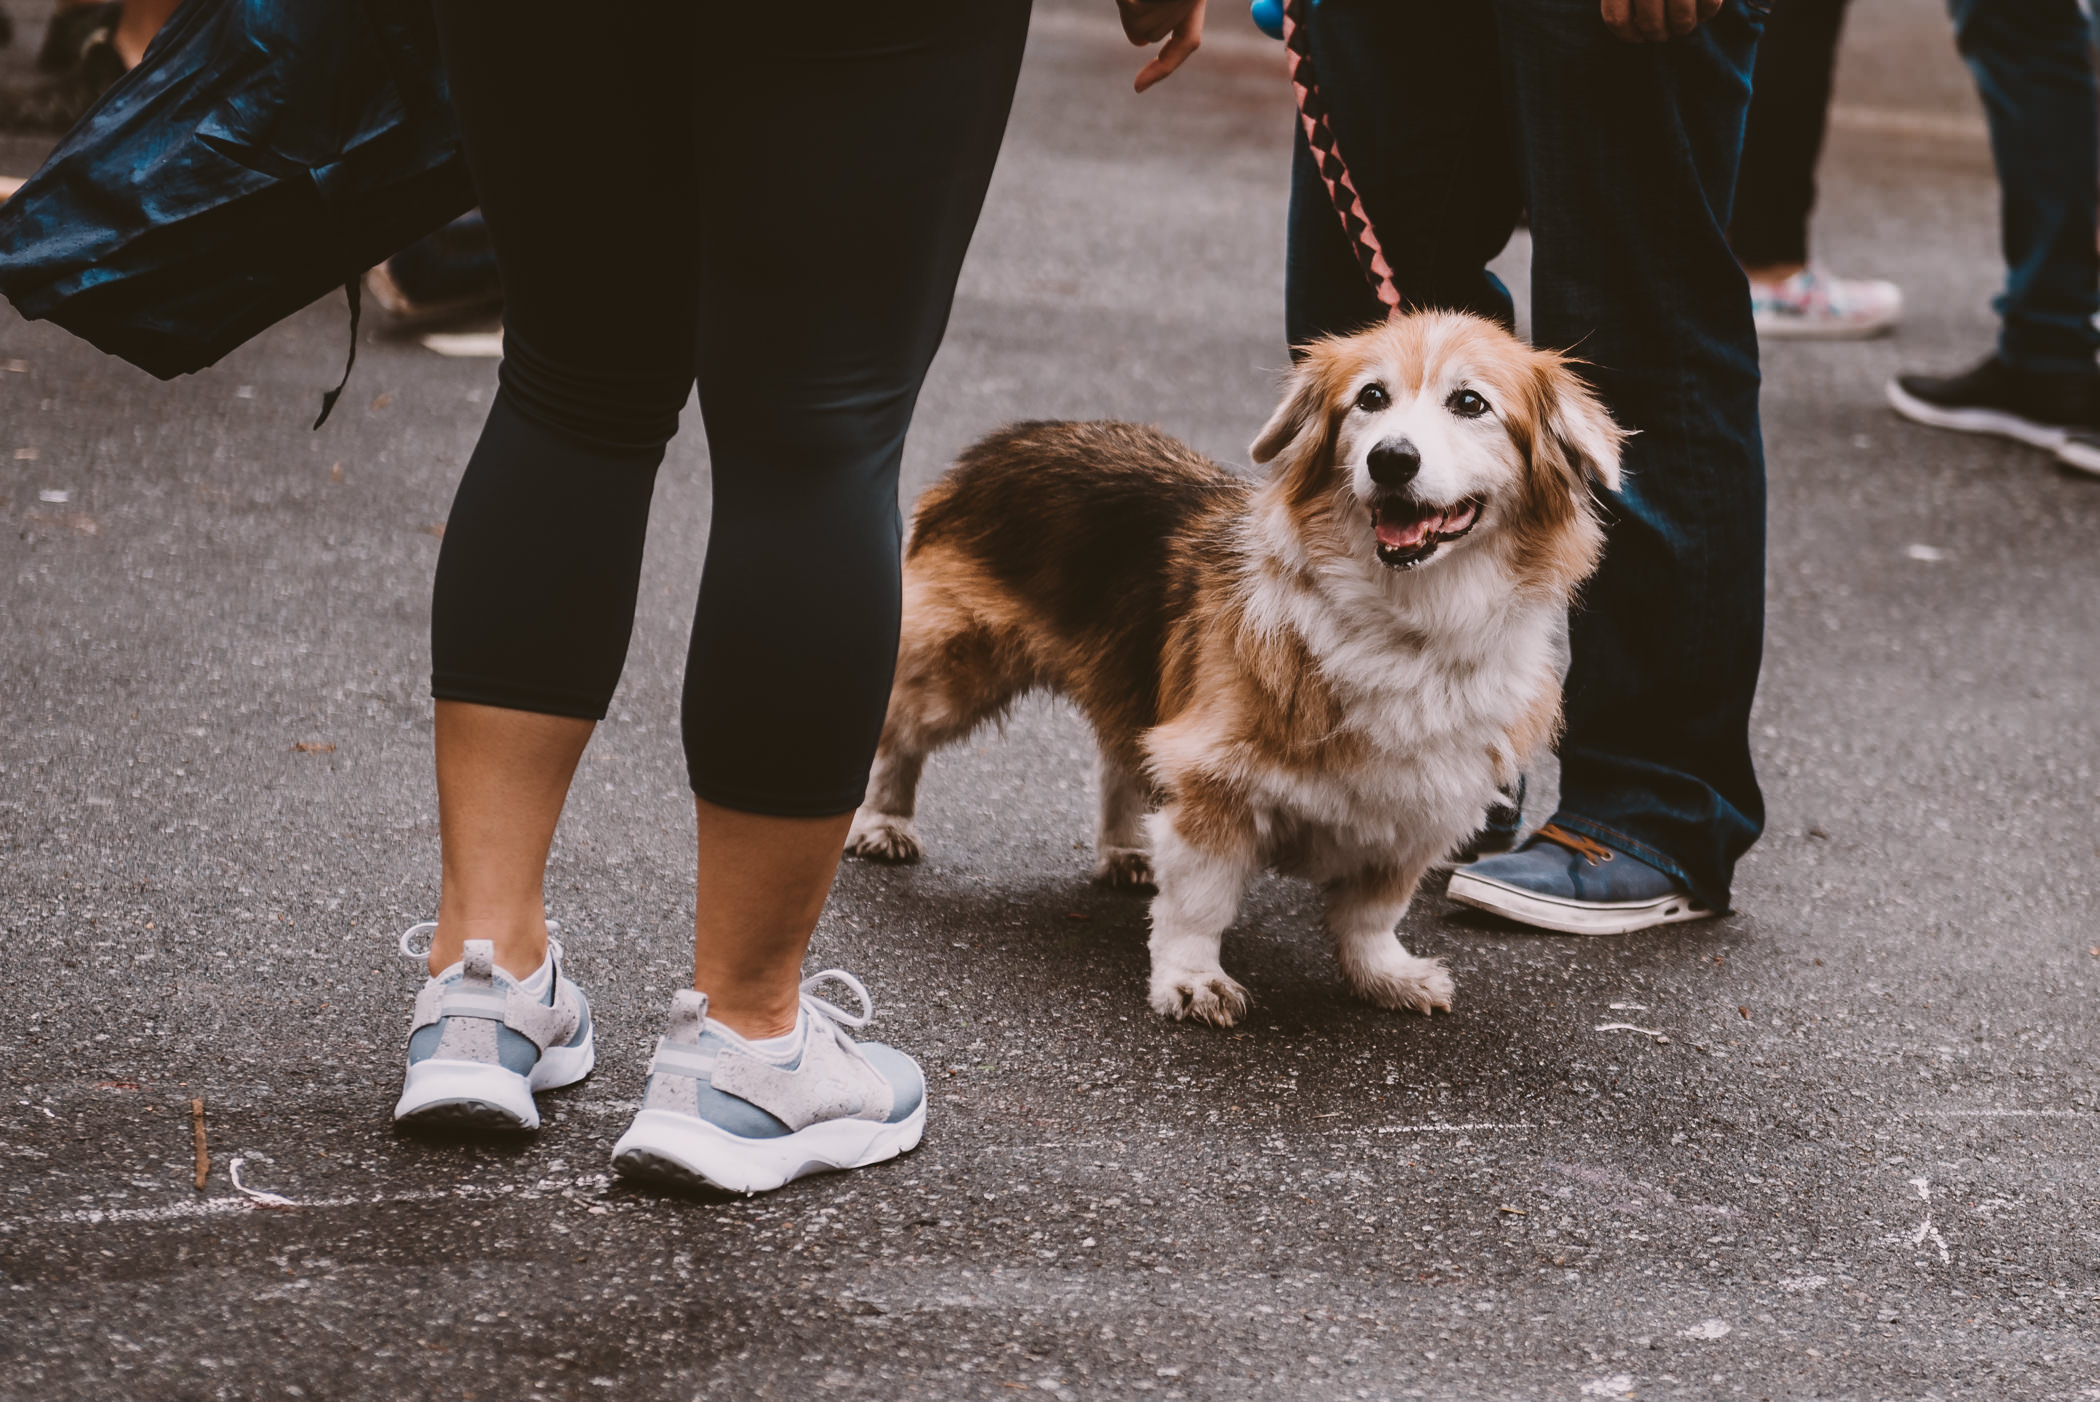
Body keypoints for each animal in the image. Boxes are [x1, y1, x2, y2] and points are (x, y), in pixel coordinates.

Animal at [839, 308, 1621, 1028]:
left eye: (1470, 403)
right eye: (1370, 398)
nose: (1391, 460)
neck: (1408, 622)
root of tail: (1004, 439)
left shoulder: (1419, 808)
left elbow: (1373, 914)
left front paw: (1384, 976)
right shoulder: (1216, 777)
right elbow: (1201, 901)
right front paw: (1191, 980)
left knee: (1121, 759)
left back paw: (1126, 848)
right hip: (956, 668)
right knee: (898, 731)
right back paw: (881, 821)